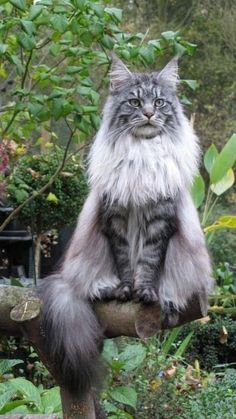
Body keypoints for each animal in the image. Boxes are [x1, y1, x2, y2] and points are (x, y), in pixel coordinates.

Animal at [38, 56, 212, 398]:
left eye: (159, 102)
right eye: (134, 102)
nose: (148, 113)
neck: (141, 153)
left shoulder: (160, 217)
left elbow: (148, 261)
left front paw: (144, 292)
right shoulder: (115, 217)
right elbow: (124, 262)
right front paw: (124, 290)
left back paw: (167, 301)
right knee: (90, 286)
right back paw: (104, 288)